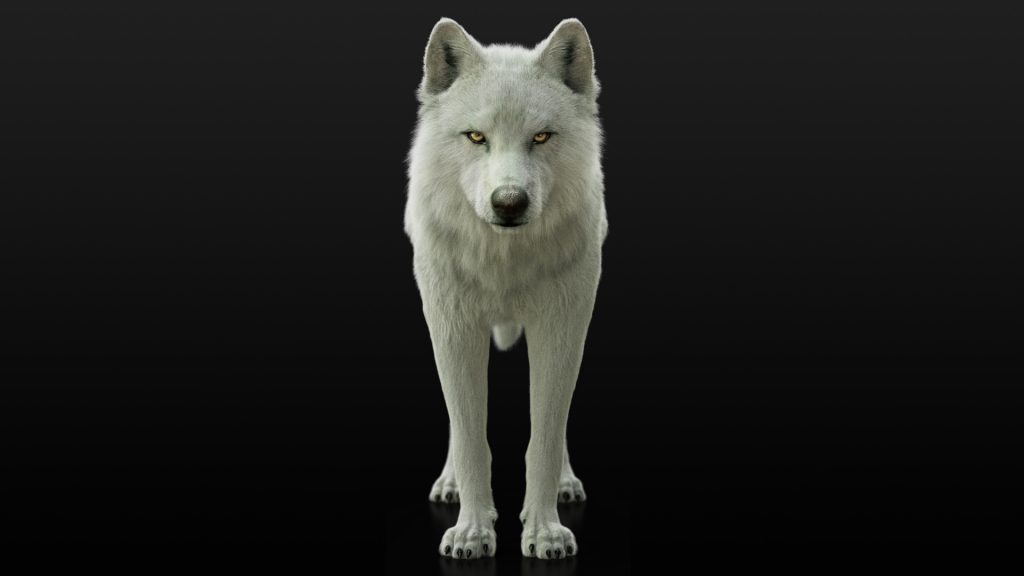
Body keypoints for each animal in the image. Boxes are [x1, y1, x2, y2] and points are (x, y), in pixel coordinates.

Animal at [404, 17, 606, 560]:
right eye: (476, 137)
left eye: (541, 136)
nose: (509, 202)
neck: (504, 261)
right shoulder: (454, 330)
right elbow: (471, 437)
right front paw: (472, 532)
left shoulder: (561, 329)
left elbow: (545, 437)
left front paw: (545, 532)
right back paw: (449, 484)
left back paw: (566, 483)